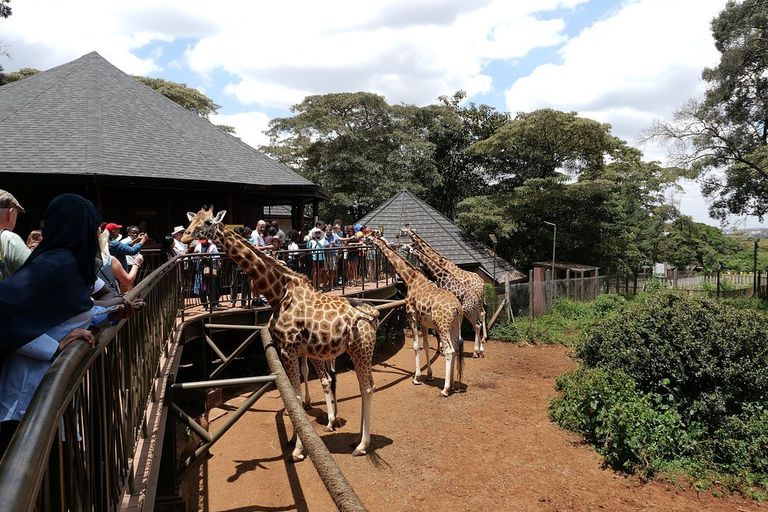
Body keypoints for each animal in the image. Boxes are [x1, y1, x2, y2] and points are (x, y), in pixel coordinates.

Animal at [182, 207, 379, 460]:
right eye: (191, 220)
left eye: (207, 222)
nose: (185, 236)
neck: (279, 292)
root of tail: (373, 314)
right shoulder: (290, 350)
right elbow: (294, 395)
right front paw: (296, 441)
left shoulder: (289, 347)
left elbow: (295, 397)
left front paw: (298, 450)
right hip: (351, 351)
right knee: (357, 385)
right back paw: (354, 438)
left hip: (361, 349)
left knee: (367, 387)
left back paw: (362, 445)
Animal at [370, 236, 464, 397]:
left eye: (367, 236)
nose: (361, 239)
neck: (409, 279)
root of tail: (456, 307)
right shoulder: (424, 322)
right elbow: (425, 345)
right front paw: (430, 376)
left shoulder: (411, 316)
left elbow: (415, 345)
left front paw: (417, 377)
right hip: (454, 325)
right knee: (456, 348)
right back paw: (453, 385)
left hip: (442, 325)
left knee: (449, 350)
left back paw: (445, 389)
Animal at [398, 225, 488, 355]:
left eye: (403, 231)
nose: (397, 237)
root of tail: (483, 283)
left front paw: (441, 347)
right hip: (478, 302)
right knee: (481, 315)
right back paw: (482, 344)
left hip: (474, 304)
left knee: (478, 319)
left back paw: (477, 348)